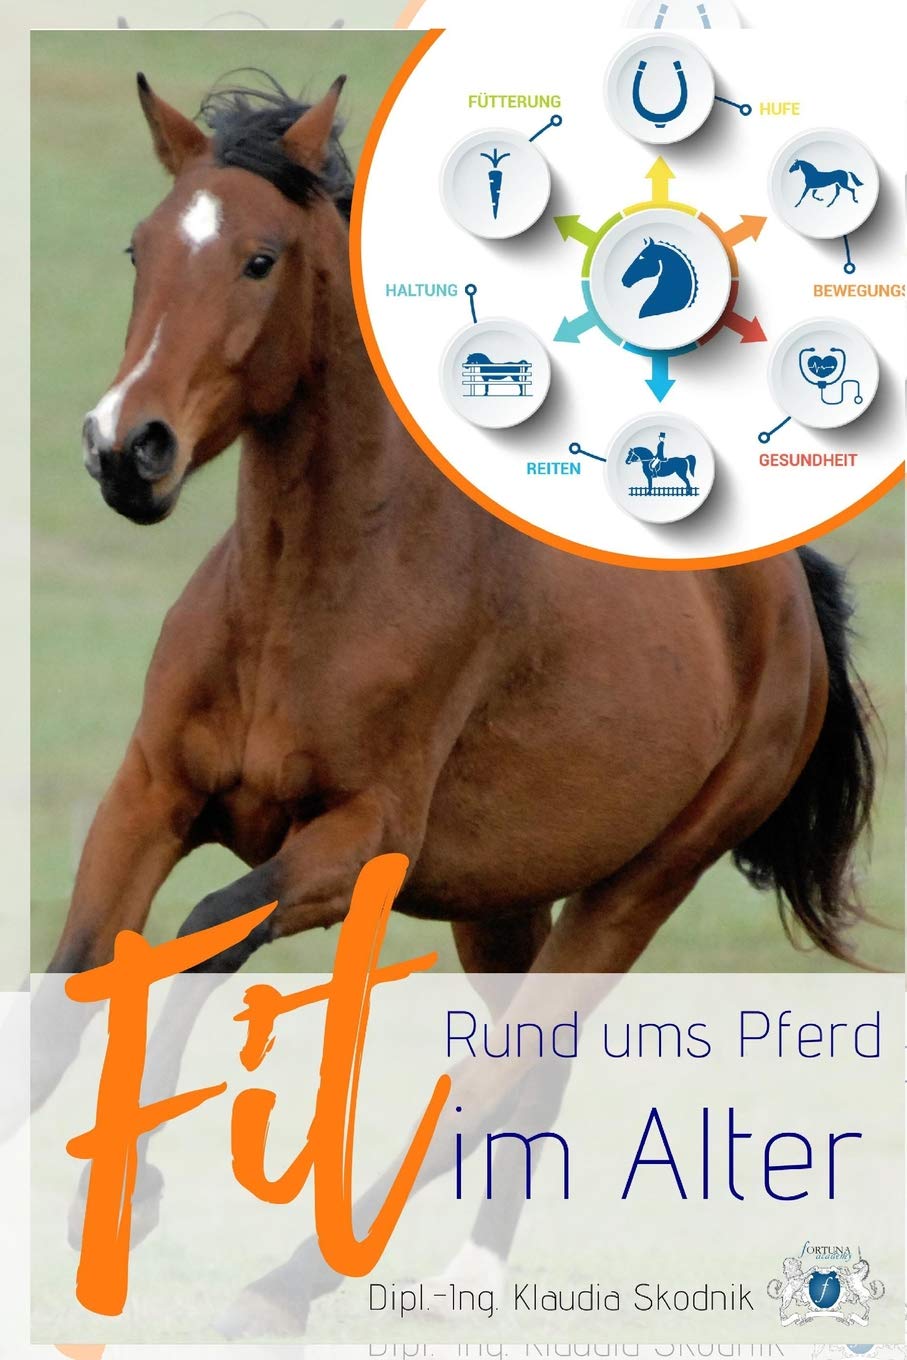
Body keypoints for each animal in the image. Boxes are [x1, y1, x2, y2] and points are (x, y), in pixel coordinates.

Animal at [37, 70, 877, 1335]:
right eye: (143, 248)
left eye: (260, 260)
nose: (125, 450)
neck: (303, 597)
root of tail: (779, 585)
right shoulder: (147, 799)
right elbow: (74, 989)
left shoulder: (354, 846)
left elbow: (197, 944)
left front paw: (129, 1195)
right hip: (505, 899)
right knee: (523, 1072)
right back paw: (460, 1274)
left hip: (642, 883)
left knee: (499, 1069)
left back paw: (294, 1287)